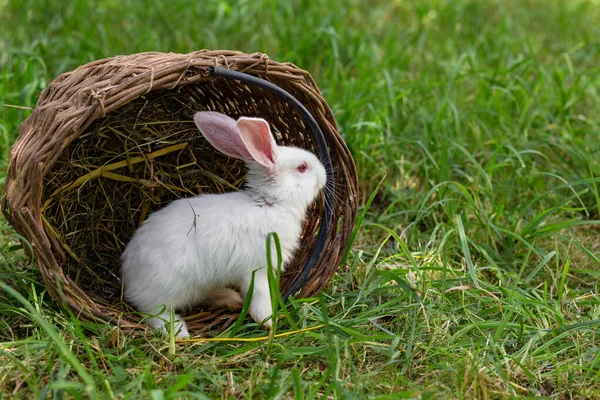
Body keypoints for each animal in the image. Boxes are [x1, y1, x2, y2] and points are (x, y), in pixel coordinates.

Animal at [119, 110, 326, 338]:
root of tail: (127, 273)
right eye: (302, 167)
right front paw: (269, 323)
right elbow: (259, 296)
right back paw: (179, 331)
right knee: (153, 311)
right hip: (166, 289)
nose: (325, 174)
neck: (269, 203)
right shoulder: (255, 269)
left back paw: (230, 299)